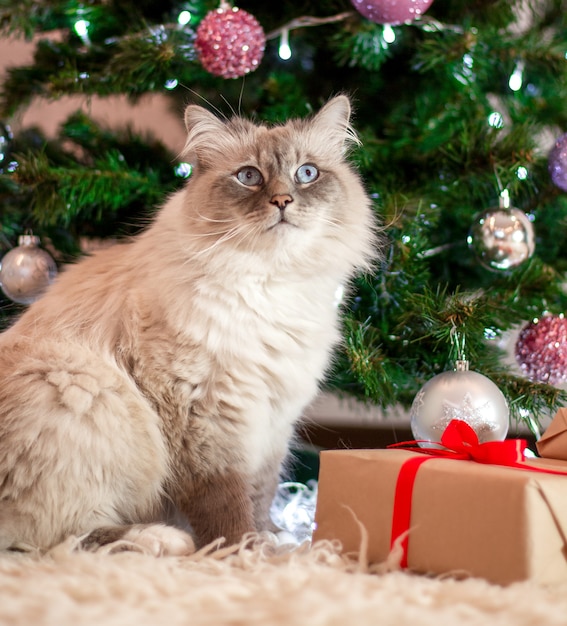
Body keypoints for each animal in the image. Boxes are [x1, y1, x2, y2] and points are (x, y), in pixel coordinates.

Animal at [1, 95, 382, 552]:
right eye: (249, 177)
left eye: (306, 174)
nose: (283, 201)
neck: (270, 283)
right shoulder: (203, 413)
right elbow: (226, 505)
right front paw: (248, 553)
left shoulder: (273, 417)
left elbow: (261, 492)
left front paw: (277, 539)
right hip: (85, 392)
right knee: (59, 539)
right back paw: (163, 540)